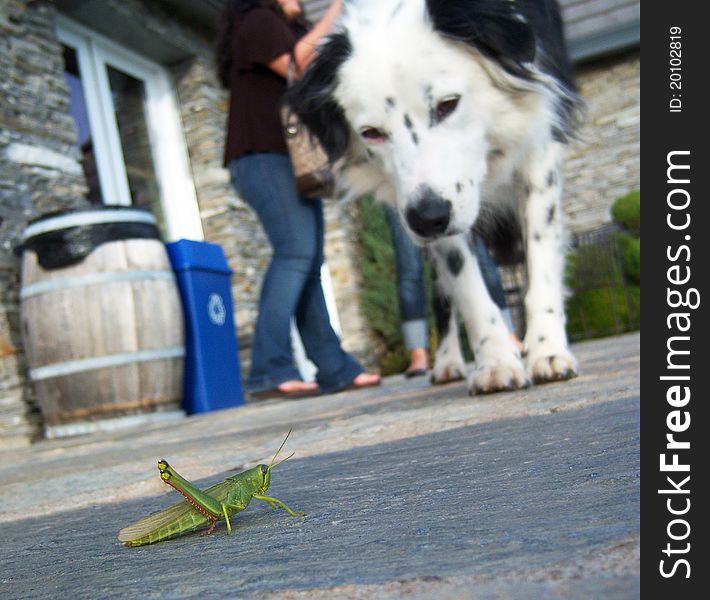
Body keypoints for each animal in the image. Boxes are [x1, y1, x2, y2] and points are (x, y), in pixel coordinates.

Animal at [290, 0, 584, 396]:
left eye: (447, 105)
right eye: (371, 133)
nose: (428, 219)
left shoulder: (539, 144)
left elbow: (541, 262)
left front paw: (547, 350)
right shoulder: (420, 207)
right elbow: (465, 284)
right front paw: (495, 362)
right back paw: (447, 362)